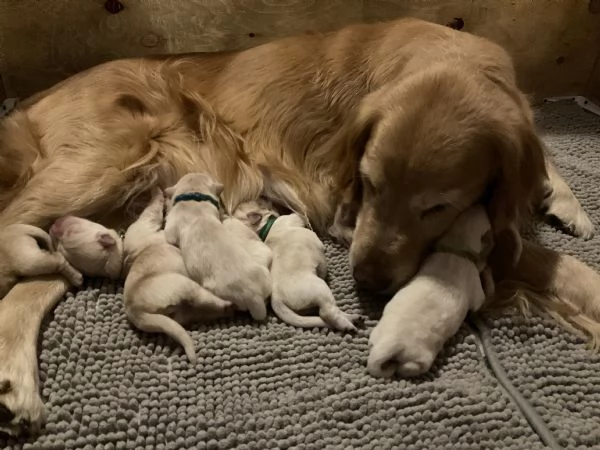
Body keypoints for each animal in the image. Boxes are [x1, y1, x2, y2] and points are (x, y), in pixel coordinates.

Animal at [123, 188, 233, 364]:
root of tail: (135, 312)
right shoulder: (147, 223)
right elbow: (153, 210)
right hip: (184, 285)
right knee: (207, 299)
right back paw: (226, 303)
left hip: (183, 312)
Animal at [234, 200, 358, 330]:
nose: (265, 197)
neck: (265, 228)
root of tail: (276, 299)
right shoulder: (295, 217)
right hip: (320, 289)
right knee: (327, 313)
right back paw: (348, 325)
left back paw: (353, 317)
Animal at [368, 206, 494, 378]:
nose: (482, 205)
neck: (453, 250)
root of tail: (390, 344)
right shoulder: (476, 289)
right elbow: (482, 297)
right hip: (419, 356)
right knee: (412, 366)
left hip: (377, 335)